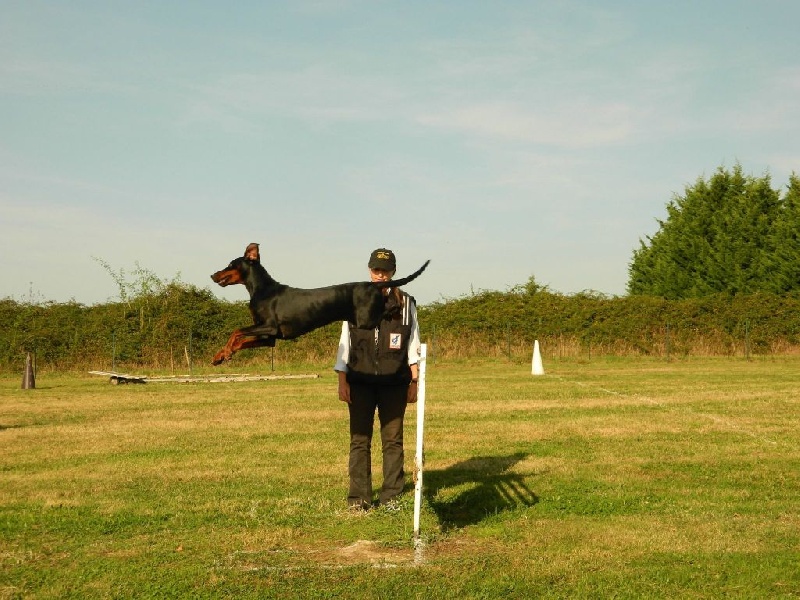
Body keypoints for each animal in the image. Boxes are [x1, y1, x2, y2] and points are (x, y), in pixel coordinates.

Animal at [210, 243, 429, 365]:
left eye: (231, 264)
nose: (213, 275)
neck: (262, 289)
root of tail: (374, 284)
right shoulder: (268, 337)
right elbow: (241, 340)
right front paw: (221, 355)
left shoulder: (269, 328)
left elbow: (236, 331)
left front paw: (225, 351)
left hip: (366, 320)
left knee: (392, 308)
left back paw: (399, 303)